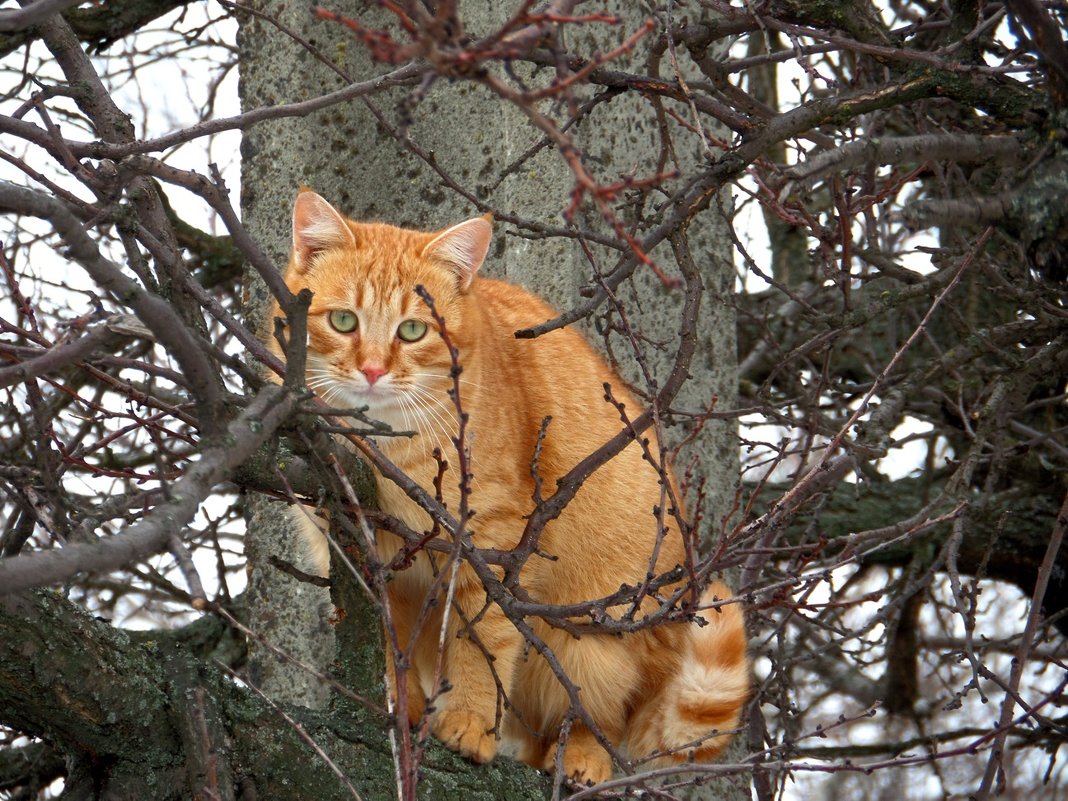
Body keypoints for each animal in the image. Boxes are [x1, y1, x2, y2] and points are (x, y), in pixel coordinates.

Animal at [267, 190, 751, 786]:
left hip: (597, 645)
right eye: (343, 321)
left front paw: (470, 722)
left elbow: (482, 645)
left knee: (598, 721)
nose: (374, 370)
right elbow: (389, 646)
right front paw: (399, 710)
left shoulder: (491, 548)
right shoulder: (369, 561)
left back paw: (582, 759)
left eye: (413, 331)